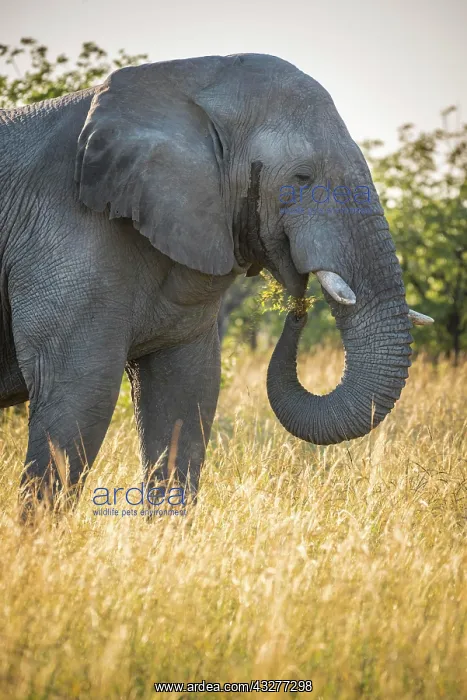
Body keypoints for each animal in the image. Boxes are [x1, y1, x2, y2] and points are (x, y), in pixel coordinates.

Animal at [0, 53, 432, 509]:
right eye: (302, 177)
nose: (297, 305)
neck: (185, 86)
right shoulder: (65, 232)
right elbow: (80, 396)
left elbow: (186, 397)